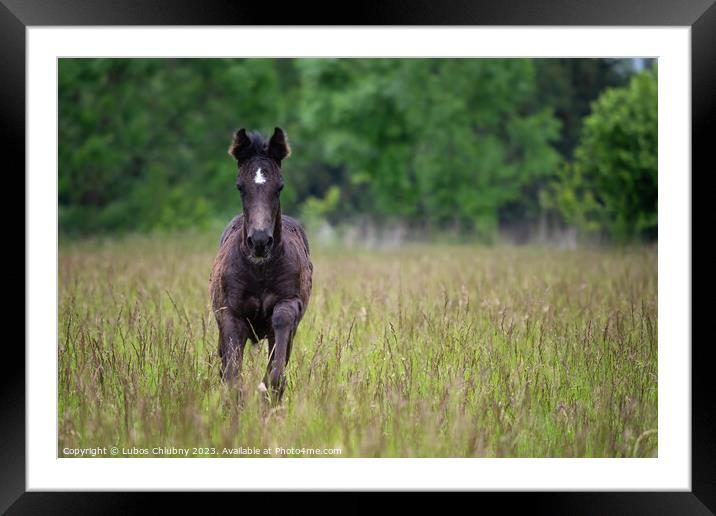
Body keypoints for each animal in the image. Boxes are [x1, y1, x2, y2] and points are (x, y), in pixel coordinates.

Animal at [211, 127, 314, 402]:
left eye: (280, 187)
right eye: (240, 187)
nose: (259, 241)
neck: (259, 270)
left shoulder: (290, 303)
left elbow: (276, 367)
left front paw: (268, 392)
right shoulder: (231, 313)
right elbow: (231, 376)